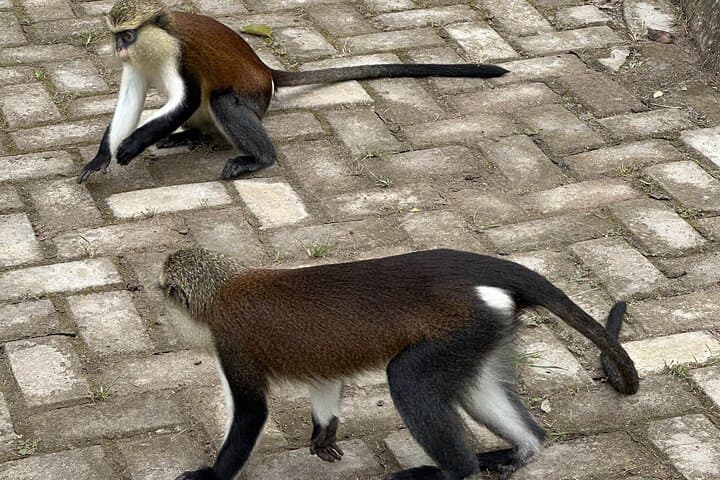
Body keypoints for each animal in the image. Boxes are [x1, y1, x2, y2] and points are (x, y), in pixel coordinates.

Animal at [76, 0, 510, 184]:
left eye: (127, 35)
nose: (118, 49)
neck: (155, 40)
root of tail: (265, 71)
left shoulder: (179, 57)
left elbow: (186, 99)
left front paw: (131, 145)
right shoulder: (137, 67)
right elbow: (129, 103)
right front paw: (102, 156)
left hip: (252, 98)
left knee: (221, 99)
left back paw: (258, 159)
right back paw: (193, 136)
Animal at [159, 247, 639, 480]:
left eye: (164, 291)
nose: (161, 310)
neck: (223, 287)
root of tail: (480, 269)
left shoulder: (231, 343)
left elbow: (252, 412)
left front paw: (210, 476)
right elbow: (326, 380)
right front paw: (324, 433)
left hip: (462, 328)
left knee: (407, 379)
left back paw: (454, 472)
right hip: (483, 328)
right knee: (479, 389)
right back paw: (523, 449)